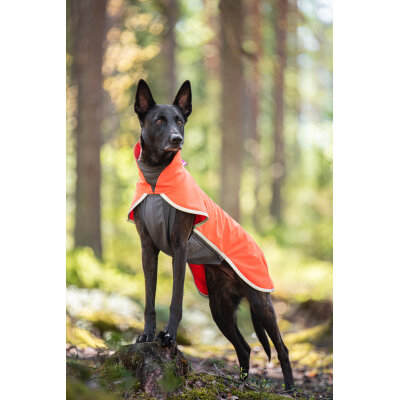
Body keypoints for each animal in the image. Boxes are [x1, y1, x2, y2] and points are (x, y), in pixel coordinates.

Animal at [128, 79, 294, 391]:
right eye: (159, 121)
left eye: (180, 121)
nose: (176, 139)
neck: (157, 179)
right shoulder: (147, 249)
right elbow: (149, 299)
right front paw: (147, 334)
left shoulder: (179, 248)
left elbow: (175, 301)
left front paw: (168, 336)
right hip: (220, 308)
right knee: (244, 347)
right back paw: (242, 385)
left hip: (260, 303)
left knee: (281, 348)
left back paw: (289, 389)